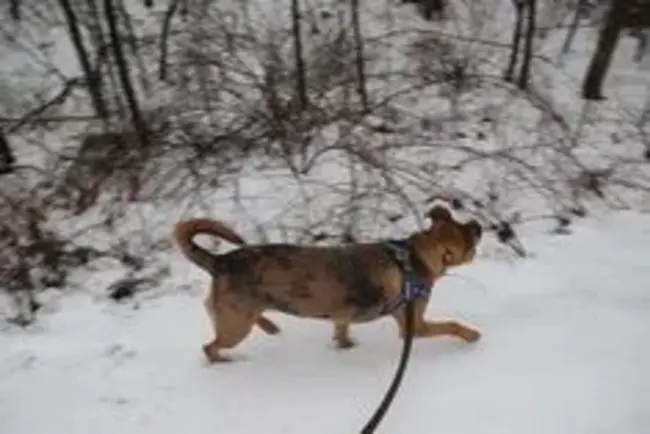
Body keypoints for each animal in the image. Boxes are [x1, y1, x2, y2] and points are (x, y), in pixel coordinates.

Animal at [172, 205, 480, 362]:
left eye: (460, 221)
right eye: (468, 239)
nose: (478, 224)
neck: (414, 255)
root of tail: (218, 262)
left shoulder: (343, 315)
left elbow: (341, 329)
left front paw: (345, 345)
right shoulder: (414, 326)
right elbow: (452, 325)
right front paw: (472, 335)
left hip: (239, 315)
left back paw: (270, 325)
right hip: (234, 327)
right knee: (209, 347)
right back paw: (223, 359)